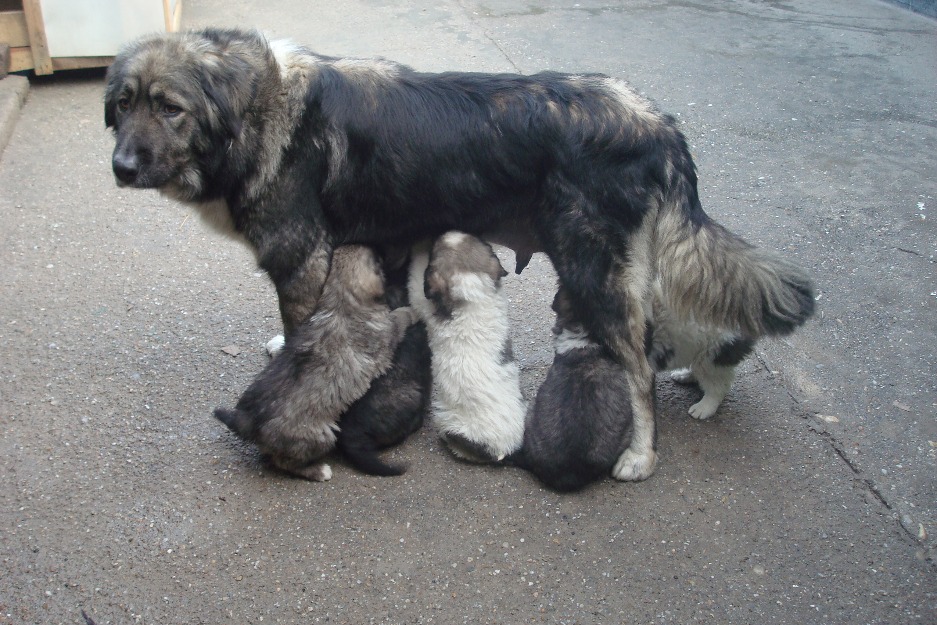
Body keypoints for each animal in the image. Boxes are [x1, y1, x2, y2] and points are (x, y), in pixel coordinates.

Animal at [218, 246, 414, 480]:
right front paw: (413, 311)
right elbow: (400, 317)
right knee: (285, 463)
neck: (340, 299)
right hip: (320, 436)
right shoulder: (388, 333)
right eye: (377, 258)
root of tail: (247, 420)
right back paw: (319, 471)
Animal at [410, 232, 528, 460]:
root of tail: (505, 449)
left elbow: (416, 278)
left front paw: (418, 248)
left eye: (435, 250)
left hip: (454, 427)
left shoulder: (424, 304)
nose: (443, 232)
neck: (475, 297)